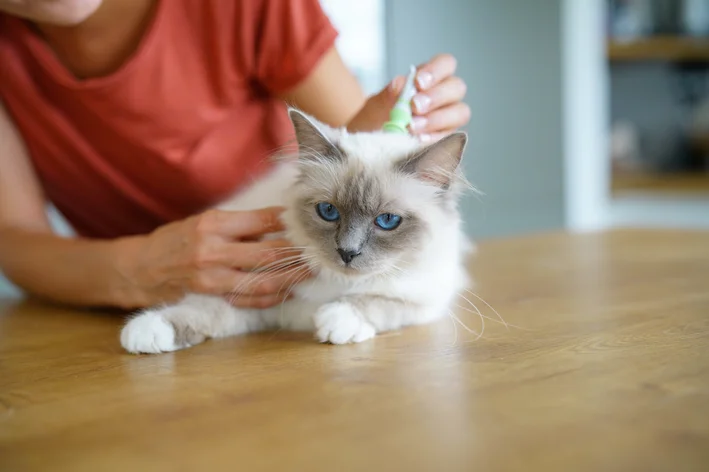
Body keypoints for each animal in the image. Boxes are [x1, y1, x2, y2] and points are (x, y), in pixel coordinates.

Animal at [119, 109, 472, 354]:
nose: (347, 253)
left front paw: (336, 321)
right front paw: (147, 331)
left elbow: (376, 302)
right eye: (328, 211)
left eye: (386, 220)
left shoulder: (426, 302)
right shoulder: (259, 301)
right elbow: (199, 310)